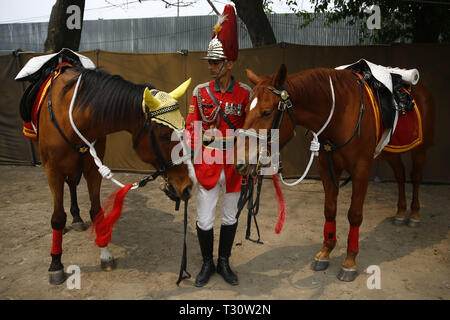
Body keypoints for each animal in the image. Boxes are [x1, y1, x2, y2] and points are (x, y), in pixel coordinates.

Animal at [28, 63, 193, 284]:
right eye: (164, 135)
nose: (187, 186)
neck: (74, 117)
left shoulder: (93, 169)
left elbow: (97, 211)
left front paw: (105, 253)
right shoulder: (52, 171)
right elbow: (57, 218)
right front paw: (56, 263)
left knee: (72, 184)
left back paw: (77, 218)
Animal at [236, 63, 436, 282]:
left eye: (266, 112)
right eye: (245, 109)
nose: (240, 160)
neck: (340, 112)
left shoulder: (361, 170)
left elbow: (354, 215)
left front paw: (349, 261)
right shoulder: (326, 166)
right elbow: (330, 209)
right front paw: (326, 252)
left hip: (420, 149)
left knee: (415, 177)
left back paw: (414, 214)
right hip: (391, 152)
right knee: (400, 174)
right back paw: (400, 212)